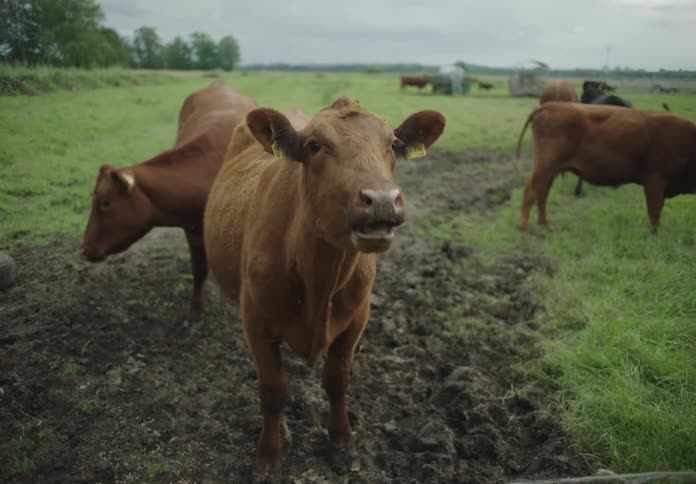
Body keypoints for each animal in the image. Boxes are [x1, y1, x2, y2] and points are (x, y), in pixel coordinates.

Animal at [204, 97, 446, 474]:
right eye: (315, 145)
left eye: (393, 143)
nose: (382, 200)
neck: (318, 275)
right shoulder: (256, 319)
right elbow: (273, 389)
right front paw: (268, 455)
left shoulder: (357, 317)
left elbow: (337, 379)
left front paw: (341, 440)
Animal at [515, 101, 696, 233]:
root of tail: (551, 105)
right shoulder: (655, 180)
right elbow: (655, 212)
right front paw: (654, 235)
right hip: (545, 168)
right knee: (531, 191)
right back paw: (523, 227)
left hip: (551, 170)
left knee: (542, 192)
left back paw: (544, 224)